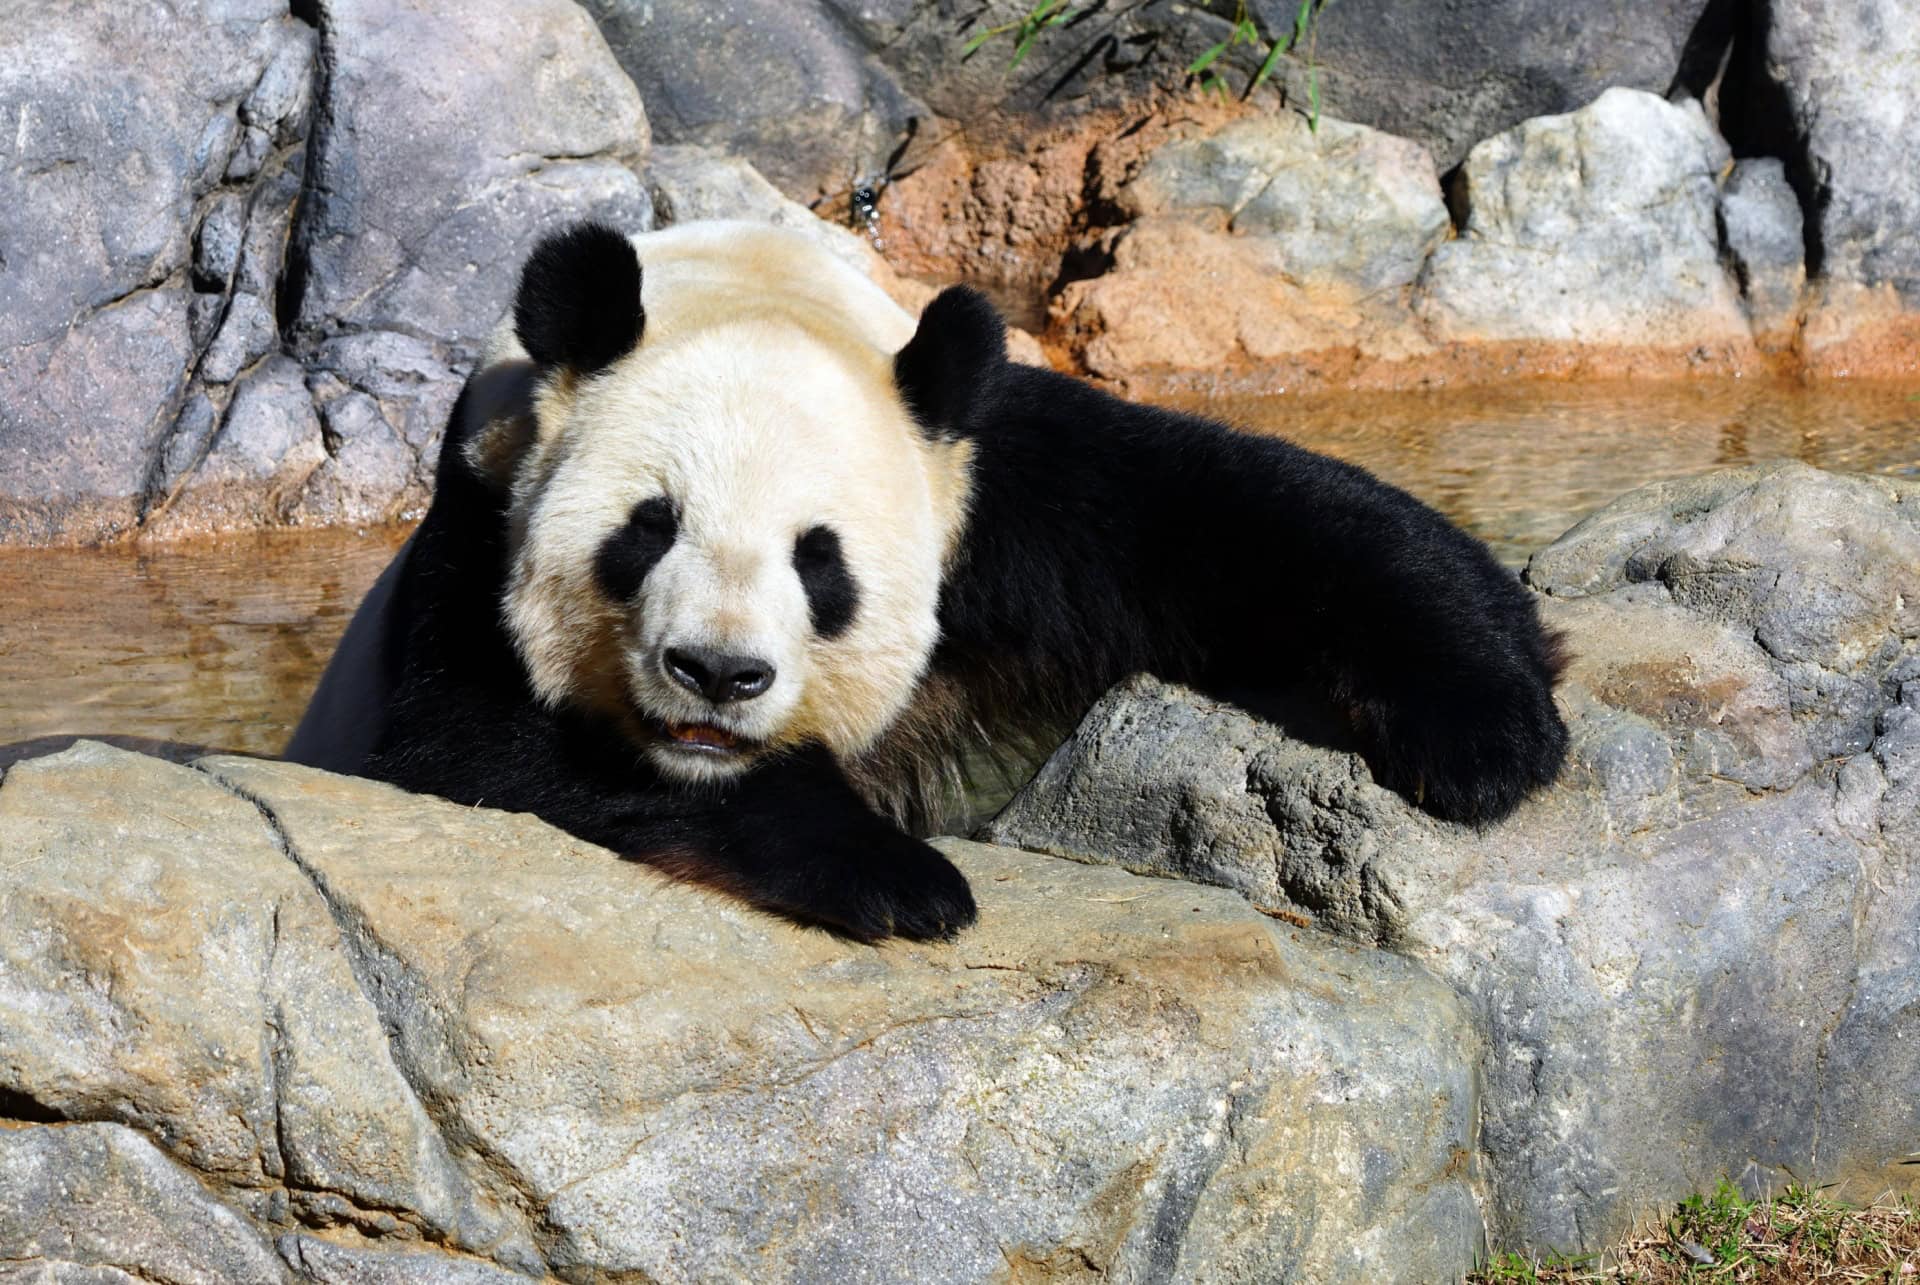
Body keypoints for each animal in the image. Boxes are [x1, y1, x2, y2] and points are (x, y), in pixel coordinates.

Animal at [287, 219, 1568, 942]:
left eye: (821, 559)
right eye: (647, 530)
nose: (717, 674)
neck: (742, 283)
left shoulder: (984, 477)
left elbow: (1251, 515)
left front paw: (1487, 733)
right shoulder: (479, 508)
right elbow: (476, 740)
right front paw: (894, 876)